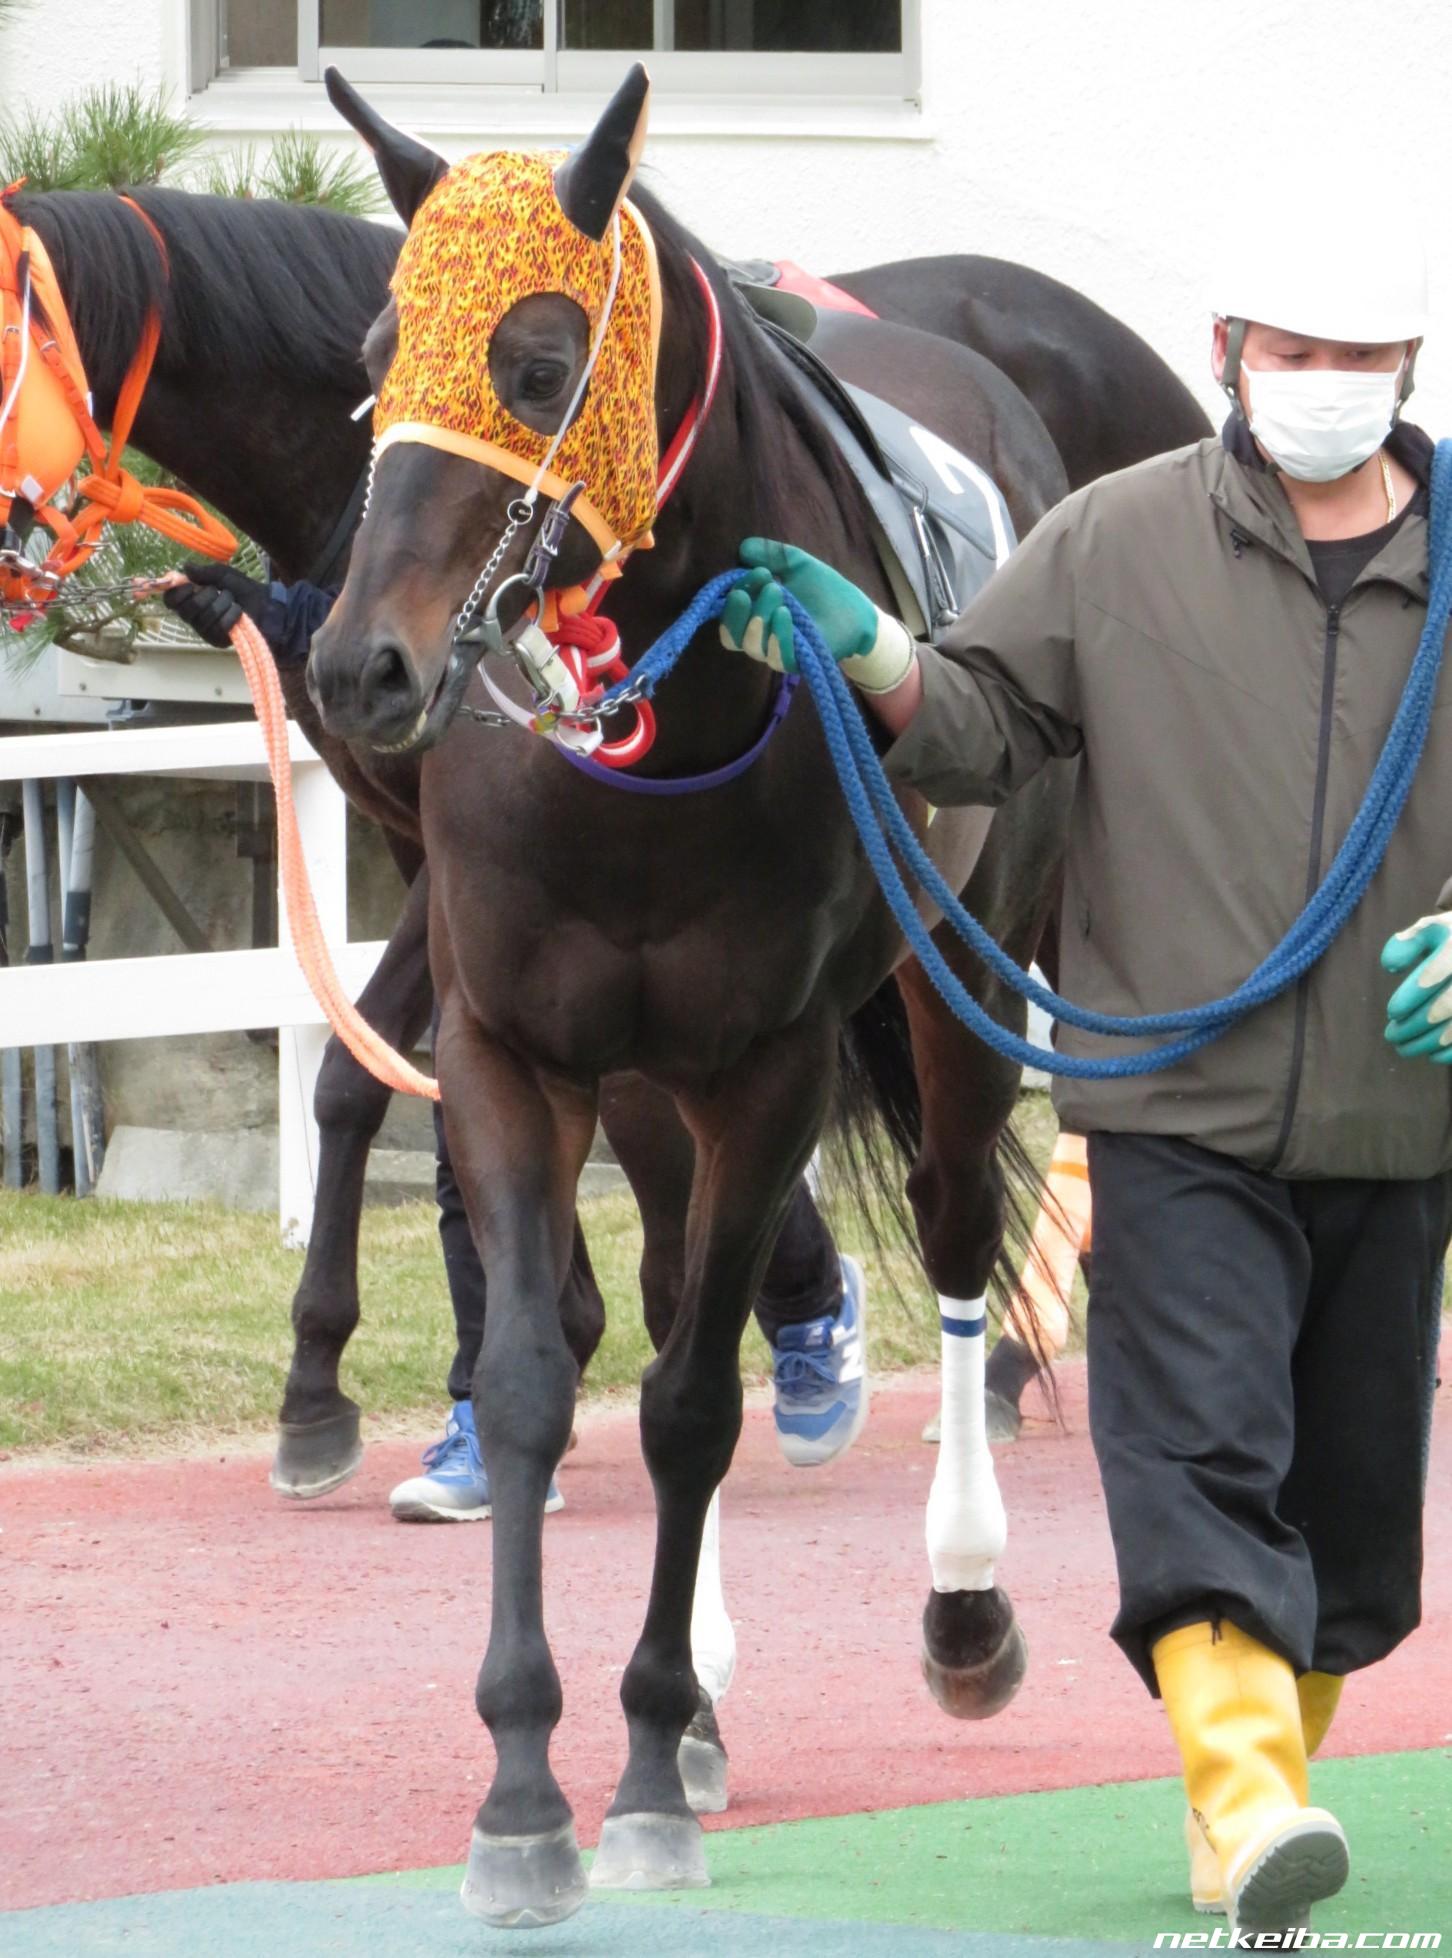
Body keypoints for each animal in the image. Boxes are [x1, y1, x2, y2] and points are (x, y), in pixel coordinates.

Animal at [295, 61, 1086, 1923]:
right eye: (378, 352)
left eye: (535, 361)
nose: (358, 663)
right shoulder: (516, 1050)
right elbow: (540, 1387)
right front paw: (530, 1787)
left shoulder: (768, 1064)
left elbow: (697, 1403)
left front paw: (645, 1758)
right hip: (645, 1086)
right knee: (670, 1286)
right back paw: (713, 1694)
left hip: (953, 981)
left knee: (954, 1228)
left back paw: (960, 1604)